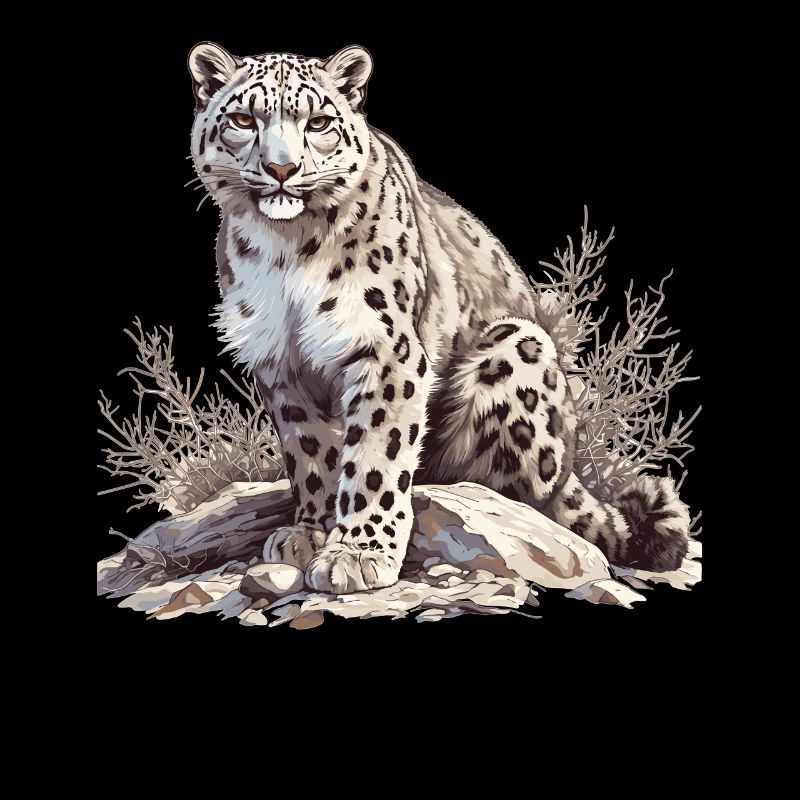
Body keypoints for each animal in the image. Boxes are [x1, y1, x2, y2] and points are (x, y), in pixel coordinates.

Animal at [188, 42, 691, 593]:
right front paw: (310, 532)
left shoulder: (386, 348)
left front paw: (359, 553)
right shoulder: (281, 359)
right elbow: (311, 455)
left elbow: (376, 455)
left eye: (318, 122)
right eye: (242, 119)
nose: (282, 168)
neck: (284, 249)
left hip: (516, 349)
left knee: (528, 494)